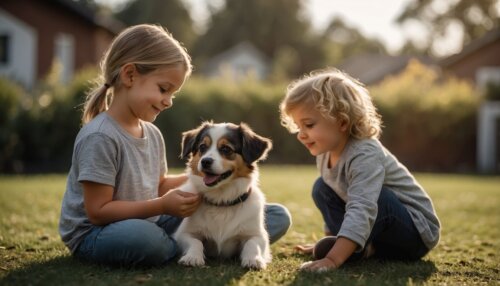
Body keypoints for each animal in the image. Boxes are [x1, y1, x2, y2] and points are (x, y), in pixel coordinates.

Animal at [174, 122, 272, 270]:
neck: (221, 201)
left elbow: (252, 243)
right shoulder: (182, 234)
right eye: (202, 147)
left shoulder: (258, 234)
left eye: (226, 149)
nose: (205, 161)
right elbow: (196, 242)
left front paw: (253, 260)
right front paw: (193, 257)